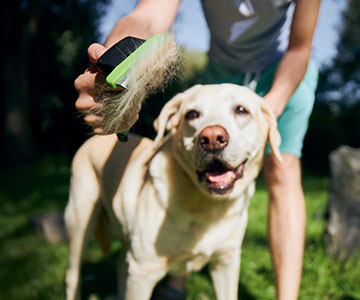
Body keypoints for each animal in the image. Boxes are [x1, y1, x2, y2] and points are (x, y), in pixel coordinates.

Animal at [66, 84, 282, 300]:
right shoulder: (142, 272)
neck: (205, 206)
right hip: (81, 221)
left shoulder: (226, 263)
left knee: (120, 263)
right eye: (192, 114)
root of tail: (95, 139)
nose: (212, 138)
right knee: (73, 275)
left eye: (241, 110)